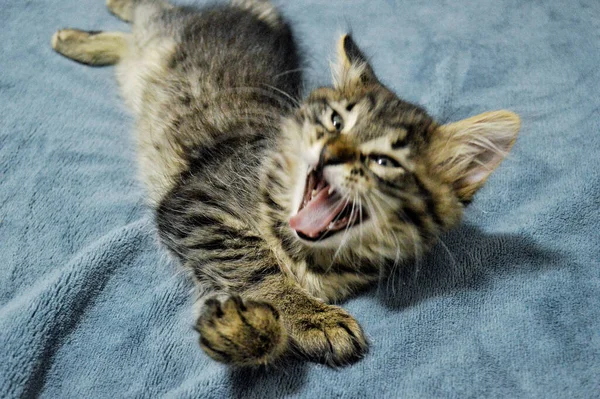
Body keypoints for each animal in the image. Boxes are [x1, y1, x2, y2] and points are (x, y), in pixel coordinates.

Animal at [52, 0, 520, 368]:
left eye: (384, 161)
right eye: (336, 122)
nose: (328, 153)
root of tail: (251, 13)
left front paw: (246, 329)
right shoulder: (196, 202)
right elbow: (257, 262)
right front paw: (311, 316)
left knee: (133, 41)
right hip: (167, 34)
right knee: (153, 12)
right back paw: (88, 25)